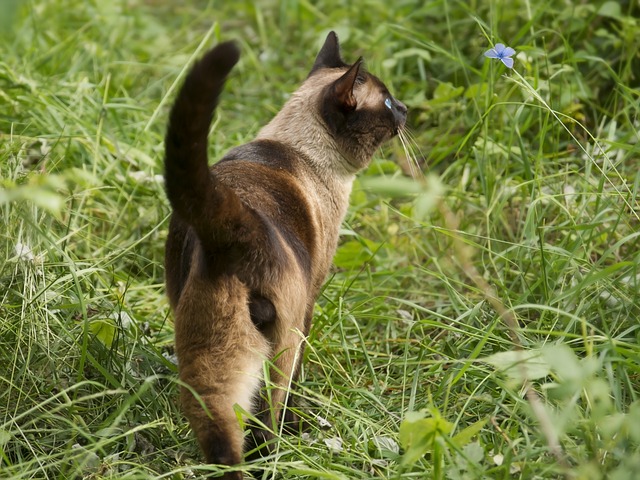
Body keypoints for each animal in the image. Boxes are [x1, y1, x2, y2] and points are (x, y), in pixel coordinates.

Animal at [162, 31, 408, 478]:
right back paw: (279, 456)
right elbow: (296, 382)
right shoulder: (310, 303)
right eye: (386, 103)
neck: (300, 150)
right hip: (280, 341)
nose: (406, 109)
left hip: (210, 358)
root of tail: (228, 229)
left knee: (225, 437)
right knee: (267, 417)